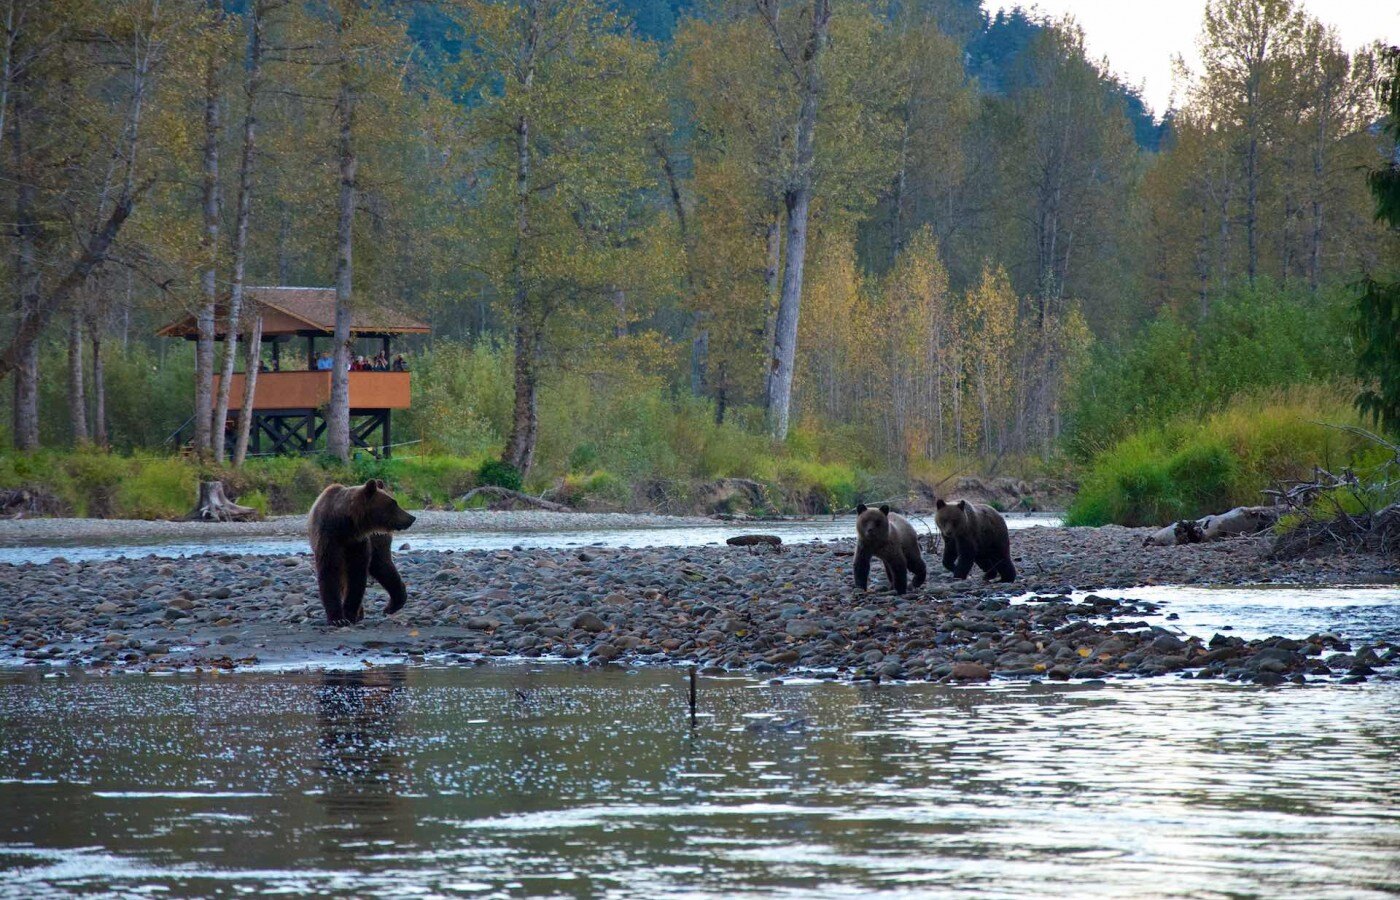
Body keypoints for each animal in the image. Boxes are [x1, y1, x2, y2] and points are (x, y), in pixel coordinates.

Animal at [308, 478, 411, 627]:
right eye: (393, 503)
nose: (411, 518)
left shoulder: (358, 543)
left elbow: (356, 574)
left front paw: (349, 614)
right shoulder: (329, 538)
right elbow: (330, 572)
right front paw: (338, 618)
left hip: (378, 540)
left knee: (382, 565)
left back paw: (392, 604)